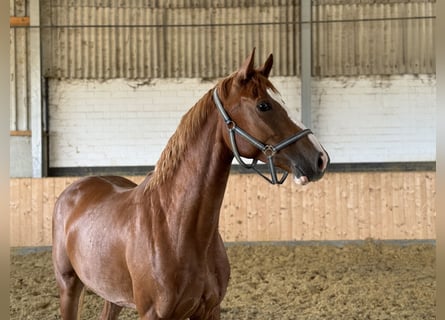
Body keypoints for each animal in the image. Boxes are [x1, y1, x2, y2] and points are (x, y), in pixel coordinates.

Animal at [53, 48, 330, 318]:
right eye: (264, 105)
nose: (320, 158)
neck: (176, 226)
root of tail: (75, 189)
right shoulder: (152, 314)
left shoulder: (209, 310)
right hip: (69, 285)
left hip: (113, 296)